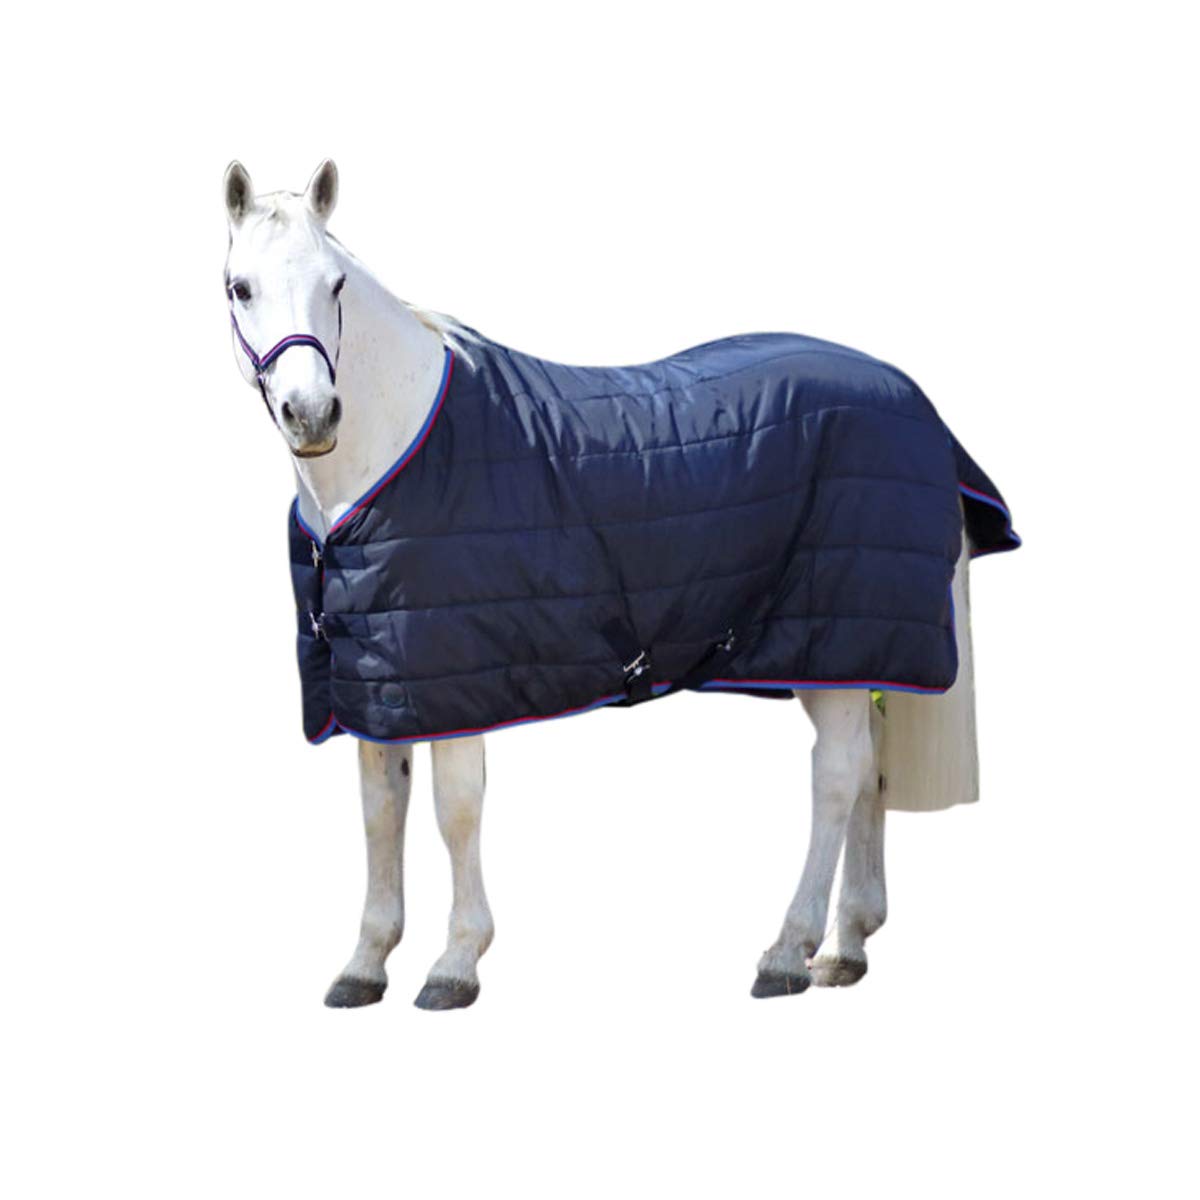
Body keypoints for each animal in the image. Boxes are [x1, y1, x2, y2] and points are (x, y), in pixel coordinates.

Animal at [223, 159, 1017, 1010]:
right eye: (241, 287)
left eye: (336, 283)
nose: (312, 415)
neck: (399, 448)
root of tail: (909, 396)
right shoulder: (374, 682)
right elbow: (380, 814)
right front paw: (365, 964)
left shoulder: (451, 676)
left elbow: (454, 811)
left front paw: (455, 964)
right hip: (835, 651)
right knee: (869, 768)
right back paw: (845, 947)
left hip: (836, 631)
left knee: (835, 778)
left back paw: (786, 952)